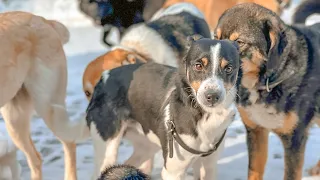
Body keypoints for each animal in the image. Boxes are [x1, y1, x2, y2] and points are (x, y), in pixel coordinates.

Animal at [85, 37, 240, 180]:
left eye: (229, 68)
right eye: (198, 66)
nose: (212, 96)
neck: (202, 114)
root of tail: (105, 77)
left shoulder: (208, 166)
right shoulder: (173, 172)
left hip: (146, 145)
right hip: (108, 149)